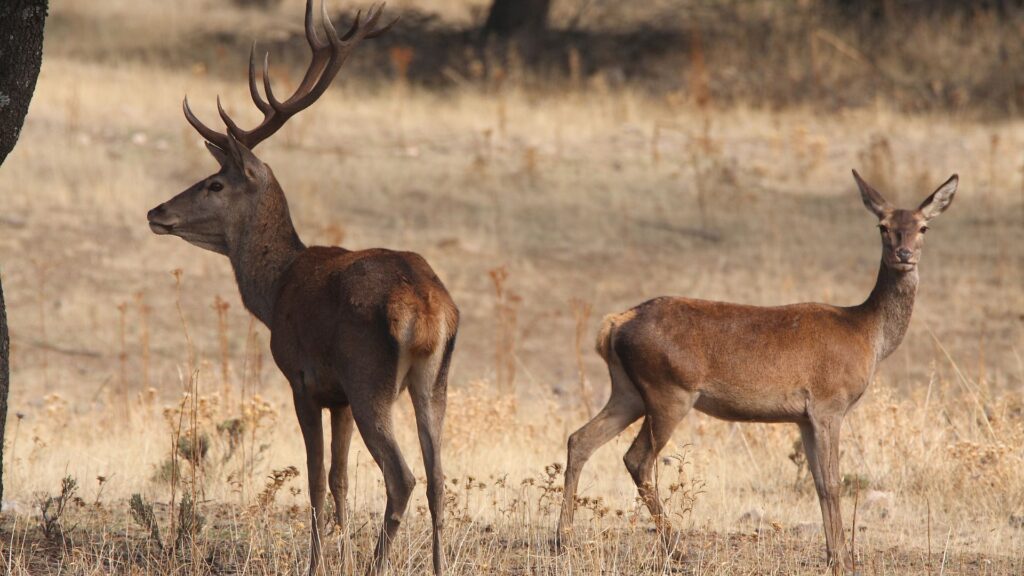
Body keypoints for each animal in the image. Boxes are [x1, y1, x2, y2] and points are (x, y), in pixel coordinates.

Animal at [146, 3, 459, 575]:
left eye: (214, 183)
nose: (157, 212)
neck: (275, 291)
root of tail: (427, 308)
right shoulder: (338, 398)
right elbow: (338, 480)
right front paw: (340, 553)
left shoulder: (303, 378)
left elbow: (314, 480)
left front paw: (319, 562)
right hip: (434, 379)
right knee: (438, 478)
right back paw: (436, 564)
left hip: (370, 377)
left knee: (402, 476)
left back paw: (378, 563)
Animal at [558, 171, 958, 573]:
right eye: (883, 226)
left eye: (923, 227)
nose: (904, 254)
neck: (867, 335)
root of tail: (614, 324)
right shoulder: (829, 403)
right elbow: (832, 482)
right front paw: (843, 560)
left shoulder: (804, 417)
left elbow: (818, 481)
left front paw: (835, 555)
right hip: (668, 390)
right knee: (636, 459)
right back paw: (678, 549)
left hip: (628, 391)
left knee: (580, 439)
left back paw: (564, 540)